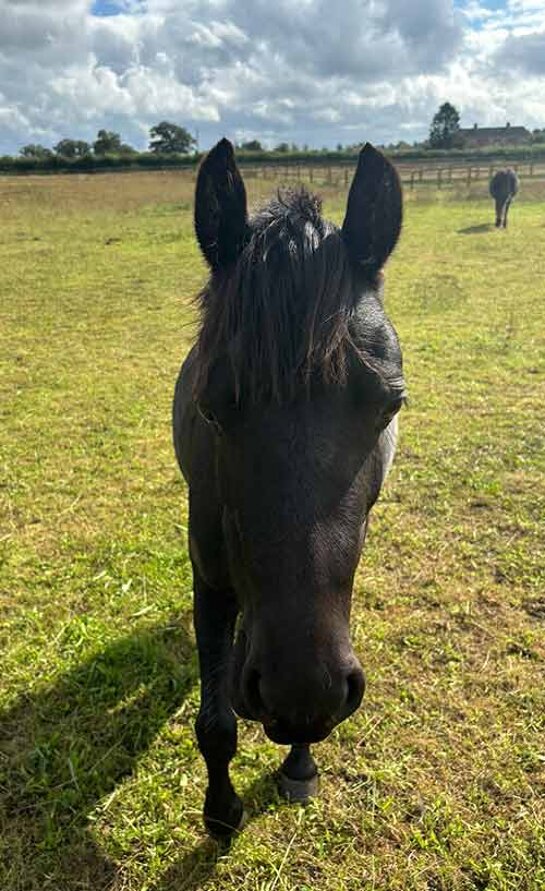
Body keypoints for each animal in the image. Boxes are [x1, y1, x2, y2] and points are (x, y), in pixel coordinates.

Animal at [172, 138, 406, 836]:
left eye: (390, 404)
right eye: (212, 407)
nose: (302, 688)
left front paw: (299, 763)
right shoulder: (209, 578)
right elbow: (216, 725)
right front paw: (222, 815)